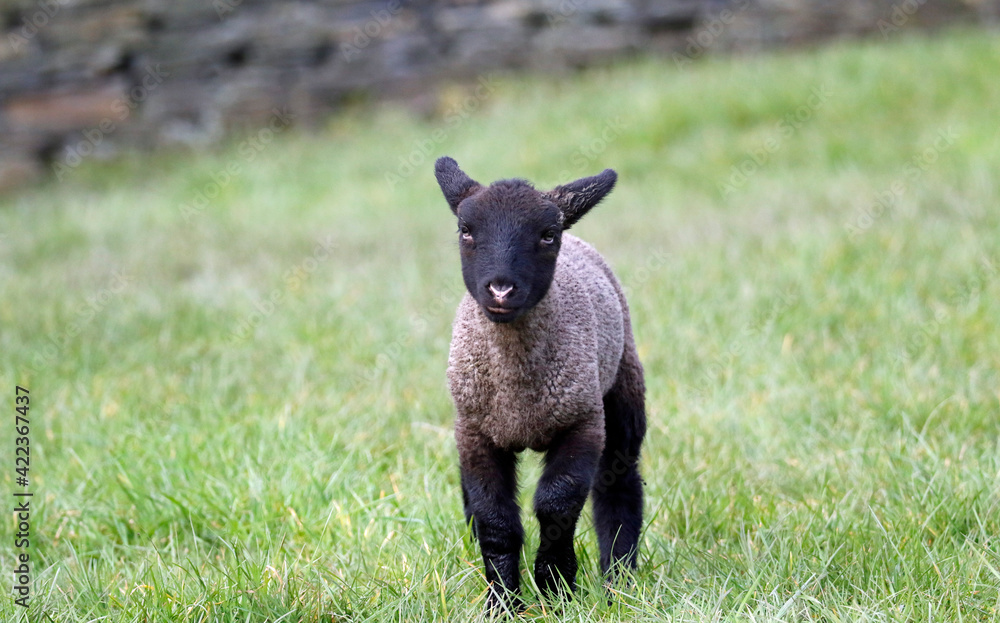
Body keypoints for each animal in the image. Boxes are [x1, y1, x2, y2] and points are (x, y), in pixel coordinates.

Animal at [433, 156, 647, 610]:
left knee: (620, 481)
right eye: (465, 230)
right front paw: (503, 602)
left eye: (548, 235)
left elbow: (556, 508)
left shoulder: (582, 422)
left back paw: (619, 579)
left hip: (622, 384)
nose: (500, 289)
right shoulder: (475, 433)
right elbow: (495, 520)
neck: (518, 395)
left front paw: (556, 588)